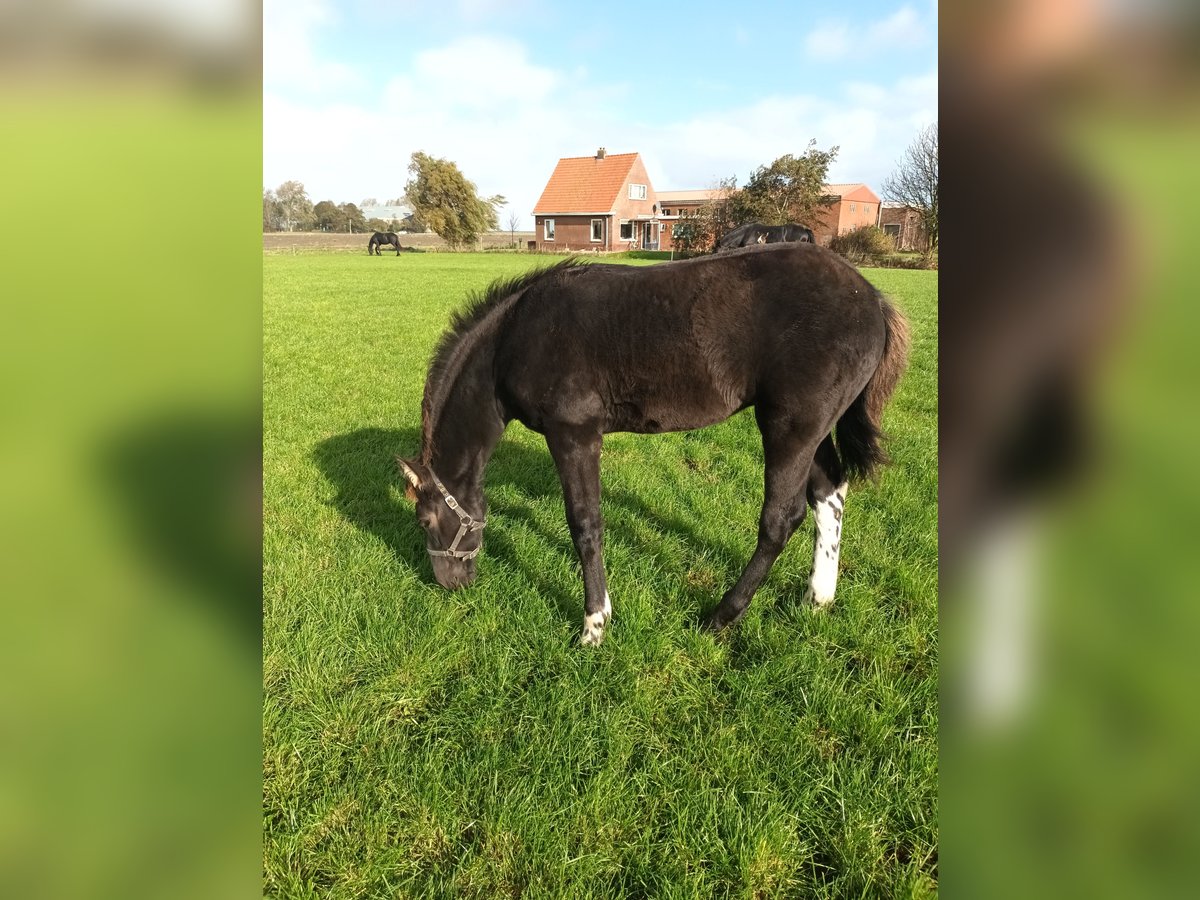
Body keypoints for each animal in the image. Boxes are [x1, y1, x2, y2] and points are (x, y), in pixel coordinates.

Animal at [396, 242, 909, 645]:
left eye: (424, 520)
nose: (449, 583)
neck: (514, 338)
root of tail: (874, 299)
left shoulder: (574, 434)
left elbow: (585, 526)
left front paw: (594, 625)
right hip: (813, 427)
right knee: (830, 491)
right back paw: (818, 597)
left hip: (789, 426)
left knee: (781, 519)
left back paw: (722, 615)